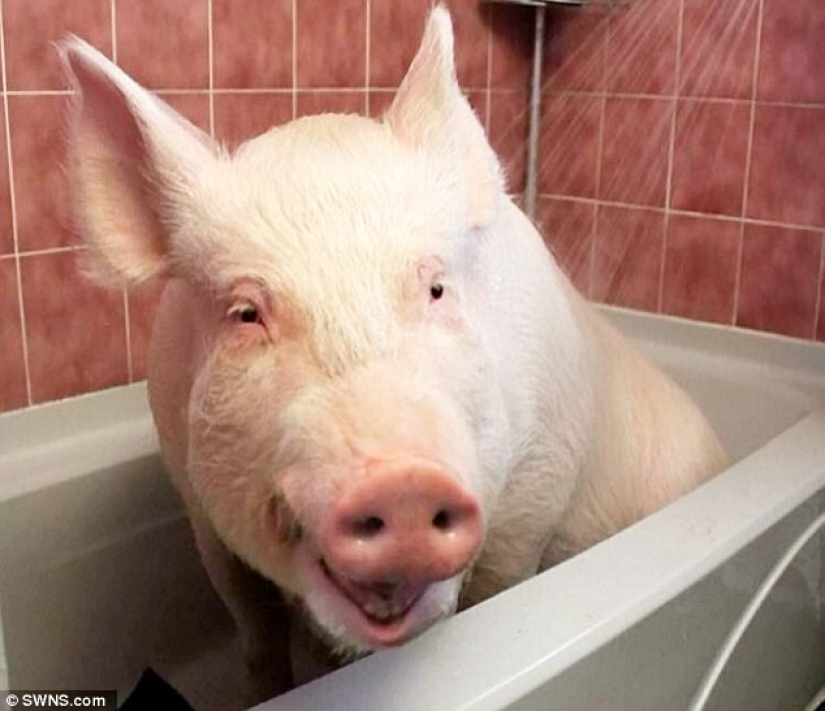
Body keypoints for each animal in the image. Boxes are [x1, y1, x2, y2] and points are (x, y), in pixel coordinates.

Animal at [61, 6, 726, 701]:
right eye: (246, 313)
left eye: (435, 288)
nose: (401, 480)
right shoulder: (197, 507)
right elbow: (255, 631)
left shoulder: (538, 491)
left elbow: (497, 587)